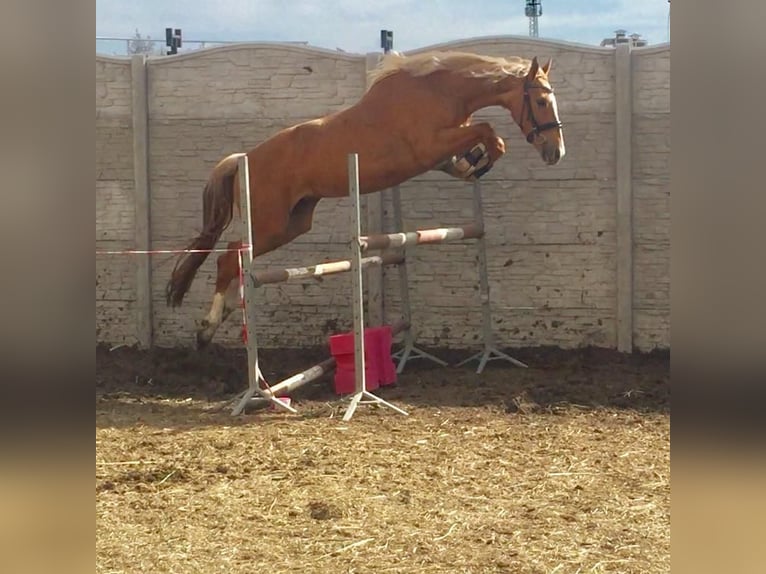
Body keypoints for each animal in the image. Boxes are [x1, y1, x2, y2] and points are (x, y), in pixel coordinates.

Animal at [165, 50, 566, 349]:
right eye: (541, 101)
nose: (555, 153)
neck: (439, 90)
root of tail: (243, 159)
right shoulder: (429, 146)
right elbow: (489, 132)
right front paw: (480, 161)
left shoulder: (440, 151)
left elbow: (477, 144)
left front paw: (472, 166)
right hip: (269, 222)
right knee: (229, 256)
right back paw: (207, 328)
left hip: (292, 224)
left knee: (237, 259)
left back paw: (226, 312)